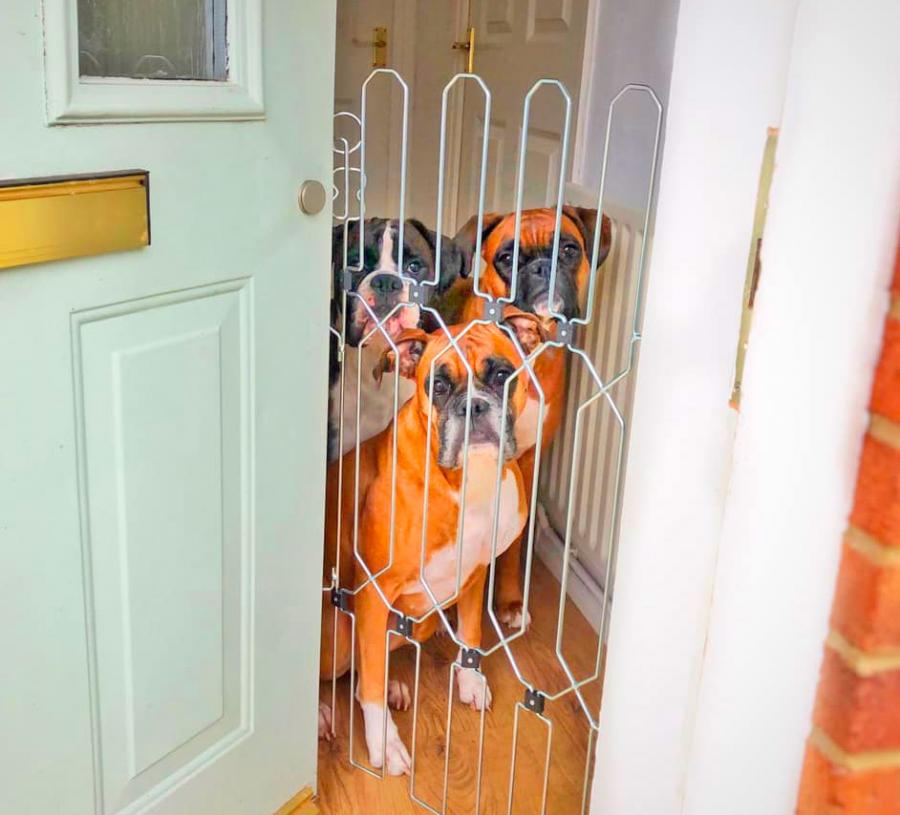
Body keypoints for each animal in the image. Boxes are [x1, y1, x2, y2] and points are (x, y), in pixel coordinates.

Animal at [324, 316, 548, 776]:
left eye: (502, 375)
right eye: (439, 385)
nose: (472, 407)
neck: (466, 480)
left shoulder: (474, 575)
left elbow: (471, 633)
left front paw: (470, 680)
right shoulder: (373, 591)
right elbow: (369, 684)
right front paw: (384, 742)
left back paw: (393, 684)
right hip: (338, 626)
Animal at [442, 207, 612, 628]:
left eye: (568, 249)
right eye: (507, 257)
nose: (541, 267)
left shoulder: (526, 463)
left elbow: (512, 546)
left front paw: (508, 600)